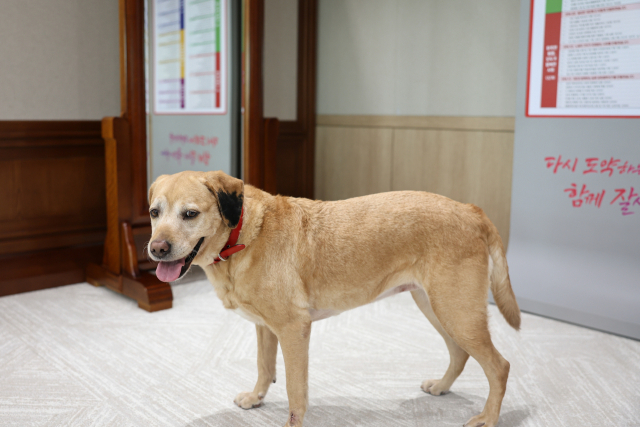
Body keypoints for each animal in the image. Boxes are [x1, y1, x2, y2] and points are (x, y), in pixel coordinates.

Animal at [149, 171, 520, 427]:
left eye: (190, 214)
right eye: (154, 212)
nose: (156, 249)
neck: (243, 235)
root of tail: (472, 210)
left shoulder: (294, 330)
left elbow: (295, 391)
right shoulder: (265, 328)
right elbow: (264, 366)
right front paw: (256, 397)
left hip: (457, 312)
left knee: (499, 367)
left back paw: (488, 418)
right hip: (437, 308)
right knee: (460, 354)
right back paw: (442, 386)